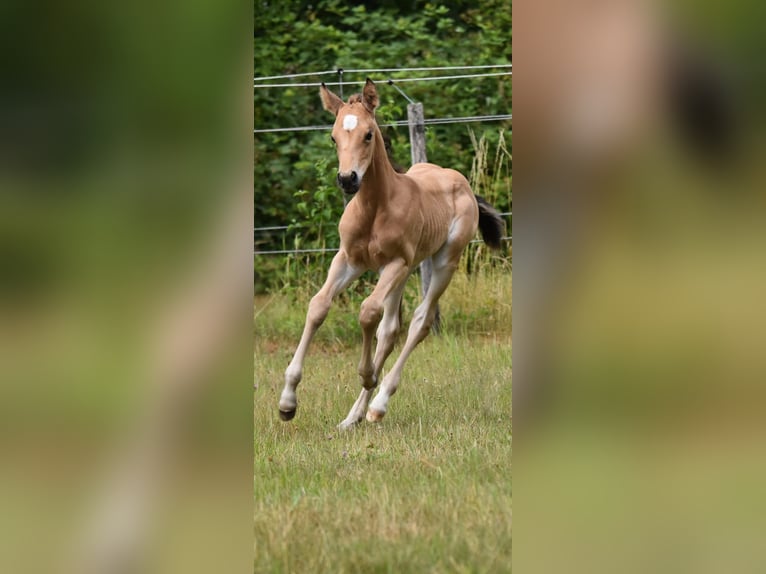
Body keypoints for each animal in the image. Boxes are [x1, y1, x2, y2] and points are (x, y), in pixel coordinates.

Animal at [278, 78, 504, 429]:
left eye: (368, 134)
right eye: (333, 137)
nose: (347, 179)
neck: (374, 208)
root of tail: (461, 181)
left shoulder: (394, 263)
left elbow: (367, 311)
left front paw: (367, 374)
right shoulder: (347, 260)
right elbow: (318, 306)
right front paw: (287, 403)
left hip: (442, 262)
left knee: (419, 322)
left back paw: (378, 403)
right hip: (407, 271)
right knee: (390, 330)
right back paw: (353, 417)